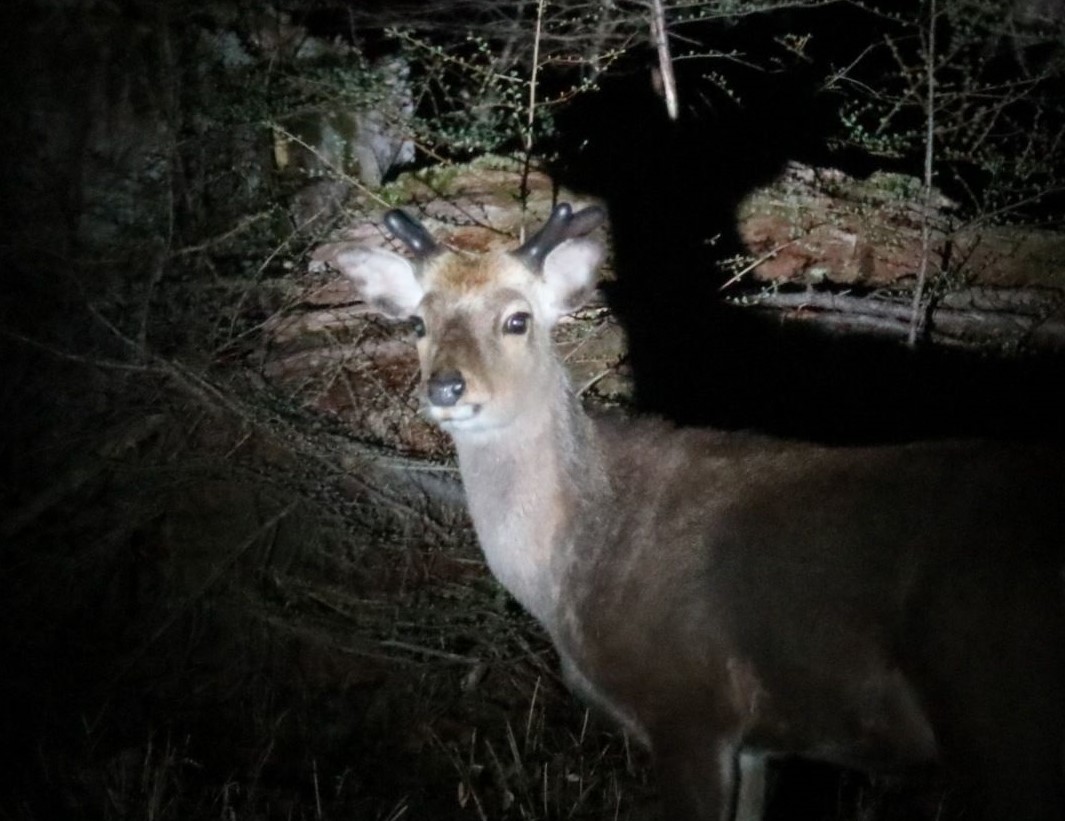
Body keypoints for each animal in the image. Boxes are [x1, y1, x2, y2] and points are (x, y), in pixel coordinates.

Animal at [315, 205, 1065, 821]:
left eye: (517, 318)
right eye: (418, 322)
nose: (446, 387)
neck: (571, 571)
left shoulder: (688, 704)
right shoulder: (758, 741)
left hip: (999, 709)